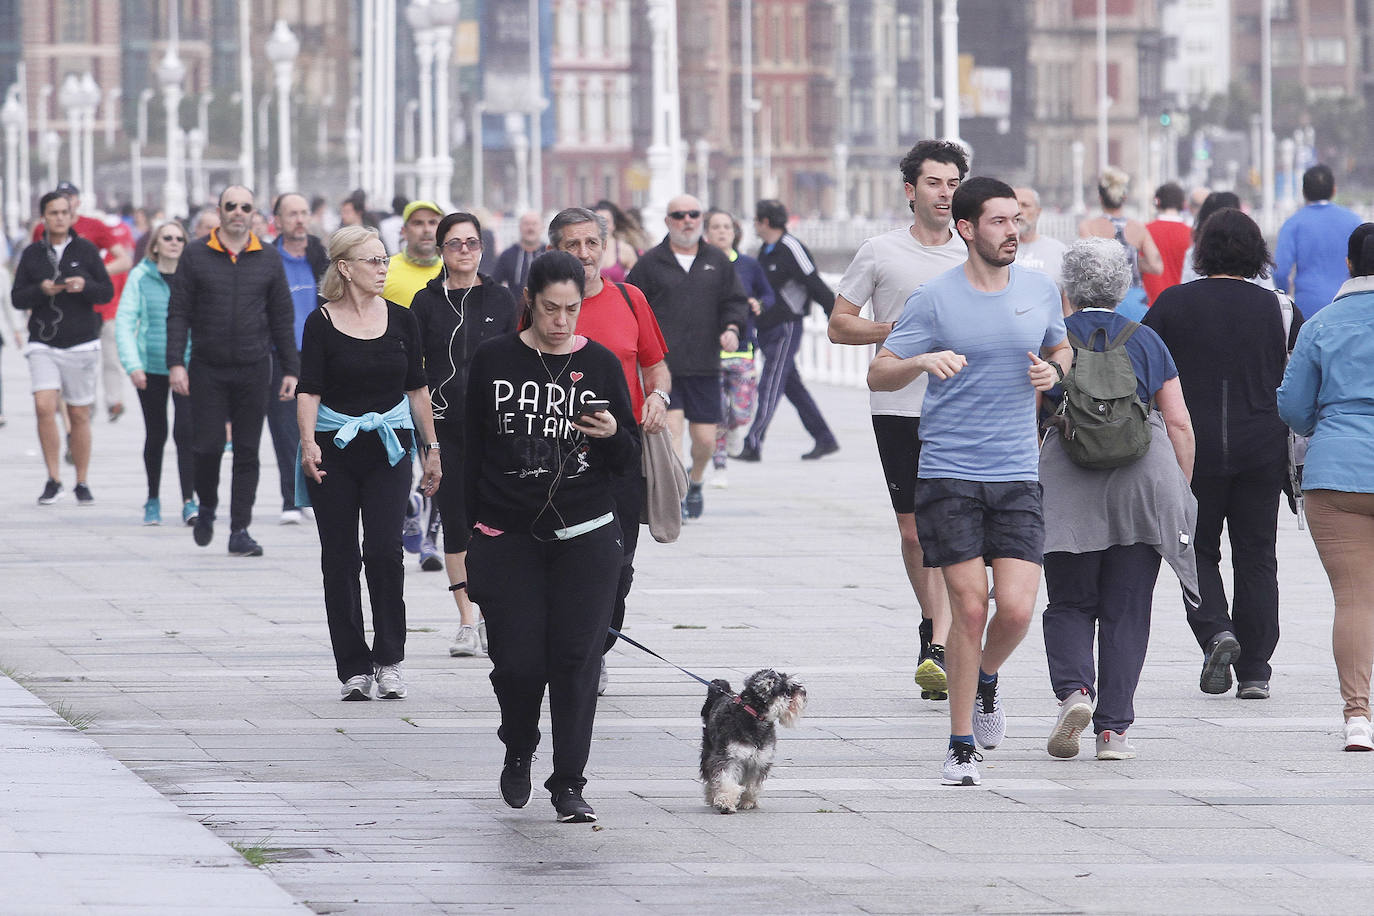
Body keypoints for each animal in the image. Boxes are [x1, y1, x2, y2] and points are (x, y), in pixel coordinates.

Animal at [697, 667, 802, 818]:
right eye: (788, 689)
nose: (803, 692)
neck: (753, 715)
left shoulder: (759, 759)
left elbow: (752, 784)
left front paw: (748, 801)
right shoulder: (728, 757)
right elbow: (726, 780)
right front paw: (725, 803)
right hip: (708, 750)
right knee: (710, 776)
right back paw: (712, 796)